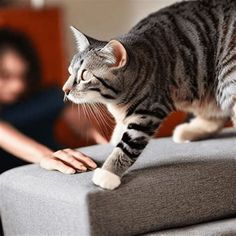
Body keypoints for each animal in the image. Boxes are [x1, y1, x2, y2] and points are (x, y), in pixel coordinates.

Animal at [62, 0, 236, 189]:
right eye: (70, 71)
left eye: (85, 76)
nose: (65, 89)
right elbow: (120, 131)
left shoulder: (148, 113)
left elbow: (127, 147)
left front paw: (108, 173)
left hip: (227, 77)